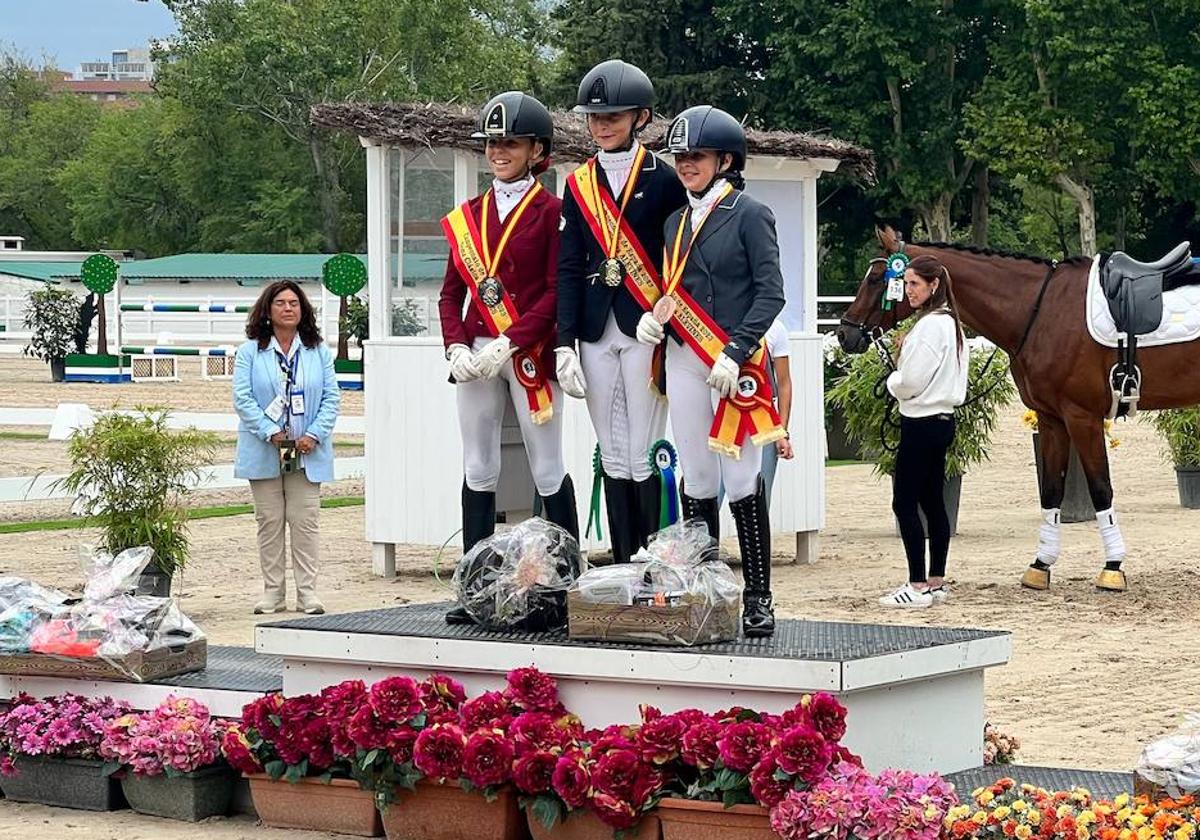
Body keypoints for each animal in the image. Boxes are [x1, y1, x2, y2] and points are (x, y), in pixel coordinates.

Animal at [840, 223, 1195, 590]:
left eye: (875, 279)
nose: (844, 334)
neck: (1041, 310)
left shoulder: (1082, 417)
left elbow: (1100, 489)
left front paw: (1112, 568)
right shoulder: (1052, 419)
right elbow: (1051, 490)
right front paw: (1040, 565)